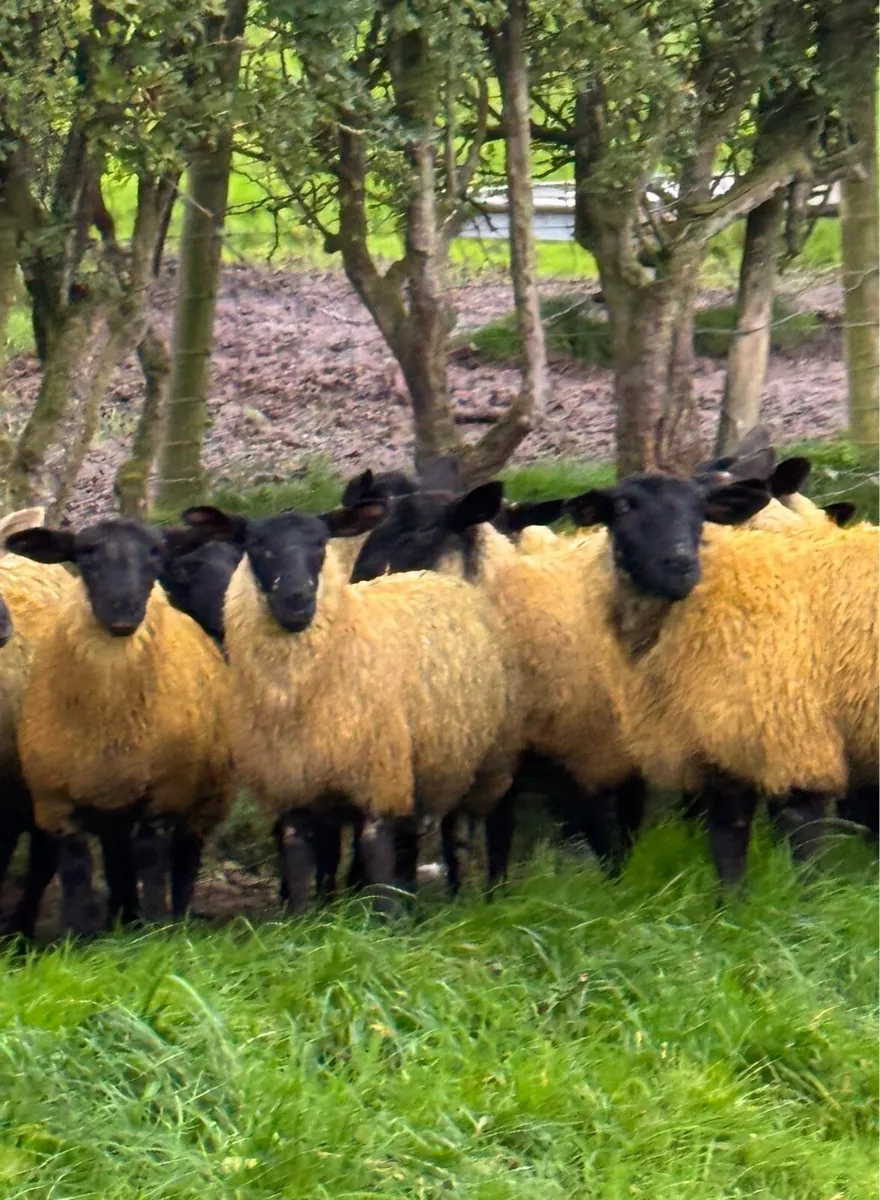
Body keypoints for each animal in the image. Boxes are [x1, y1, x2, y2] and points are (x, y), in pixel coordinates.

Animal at [7, 519, 235, 934]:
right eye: (86, 554)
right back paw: (121, 919)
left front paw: (157, 927)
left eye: (156, 553)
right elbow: (76, 868)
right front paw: (78, 935)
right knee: (117, 860)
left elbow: (152, 858)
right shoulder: (55, 802)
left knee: (184, 858)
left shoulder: (165, 792)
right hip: (111, 802)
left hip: (206, 797)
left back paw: (175, 918)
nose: (123, 612)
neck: (109, 713)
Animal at [179, 500, 524, 910]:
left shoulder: (379, 783)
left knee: (470, 831)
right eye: (255, 544)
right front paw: (307, 916)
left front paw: (383, 917)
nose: (296, 599)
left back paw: (476, 897)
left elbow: (378, 867)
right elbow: (300, 869)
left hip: (489, 759)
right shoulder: (292, 788)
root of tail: (445, 579)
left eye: (320, 544)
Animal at [564, 473, 878, 888]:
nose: (680, 564)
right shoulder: (722, 754)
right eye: (622, 507)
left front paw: (808, 899)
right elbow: (727, 843)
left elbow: (803, 843)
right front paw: (729, 903)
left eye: (700, 509)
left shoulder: (794, 738)